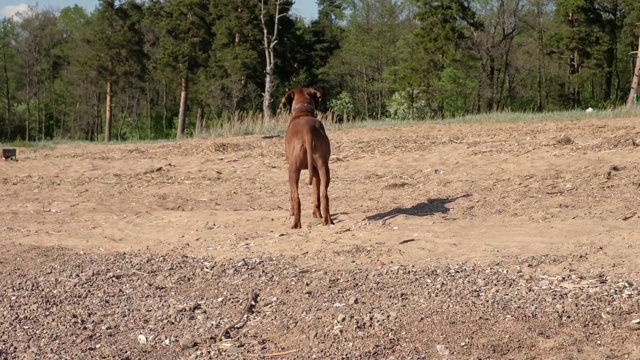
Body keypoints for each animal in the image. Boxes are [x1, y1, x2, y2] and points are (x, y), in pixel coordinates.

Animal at [282, 87, 336, 228]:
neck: (303, 111)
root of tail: (308, 129)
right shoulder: (316, 172)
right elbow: (315, 193)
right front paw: (316, 214)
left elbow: (292, 194)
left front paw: (291, 212)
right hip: (324, 167)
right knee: (324, 195)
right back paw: (327, 220)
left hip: (292, 170)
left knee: (296, 198)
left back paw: (295, 224)